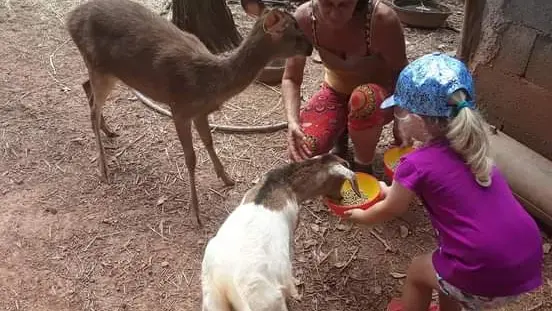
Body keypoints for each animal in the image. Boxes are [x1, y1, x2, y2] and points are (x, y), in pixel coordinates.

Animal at [66, 0, 310, 227]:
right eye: (294, 31)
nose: (310, 47)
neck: (209, 83)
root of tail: (70, 19)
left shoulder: (199, 112)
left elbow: (209, 141)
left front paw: (227, 178)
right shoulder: (179, 109)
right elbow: (190, 158)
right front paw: (195, 214)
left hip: (107, 72)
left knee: (86, 88)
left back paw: (108, 131)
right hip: (98, 65)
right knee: (92, 110)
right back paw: (104, 168)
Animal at [201, 154, 364, 311]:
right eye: (340, 182)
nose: (340, 198)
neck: (283, 184)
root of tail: (225, 283)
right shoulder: (291, 232)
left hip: (212, 301)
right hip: (268, 302)